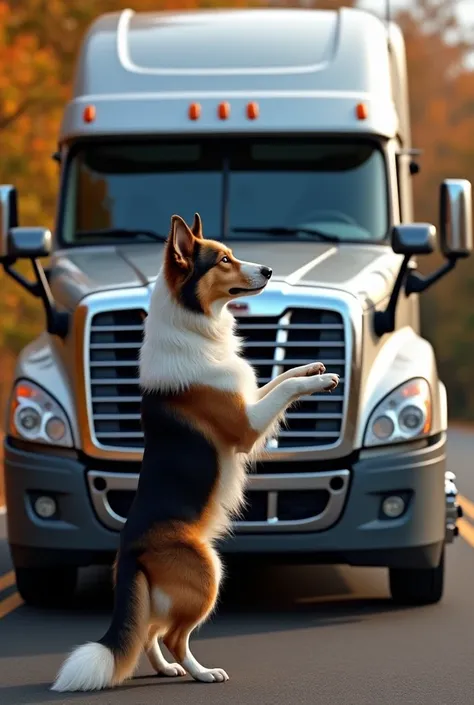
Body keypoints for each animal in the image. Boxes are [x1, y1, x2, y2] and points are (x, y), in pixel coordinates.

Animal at [51, 212, 338, 692]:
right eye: (223, 260)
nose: (268, 271)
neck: (192, 326)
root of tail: (130, 551)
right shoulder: (247, 425)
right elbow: (286, 390)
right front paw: (319, 380)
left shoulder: (250, 398)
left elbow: (279, 379)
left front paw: (312, 366)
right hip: (208, 574)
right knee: (172, 636)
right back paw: (201, 673)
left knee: (150, 634)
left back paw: (166, 668)